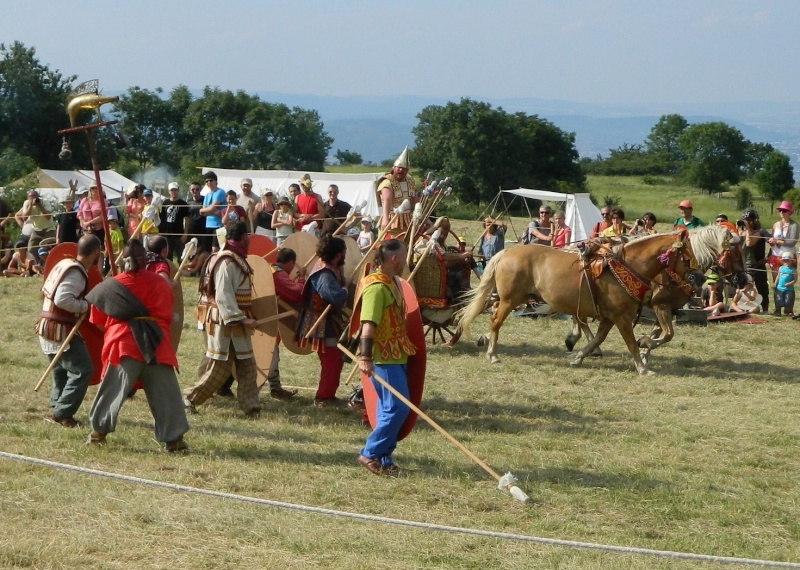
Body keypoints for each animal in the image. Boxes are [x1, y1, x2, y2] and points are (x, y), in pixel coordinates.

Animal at [460, 230, 704, 372]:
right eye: (687, 256)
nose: (700, 278)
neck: (626, 267)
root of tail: (506, 253)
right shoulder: (622, 317)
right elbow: (631, 343)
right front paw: (643, 366)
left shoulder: (610, 317)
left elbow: (597, 339)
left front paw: (578, 357)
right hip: (510, 300)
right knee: (495, 322)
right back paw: (492, 355)